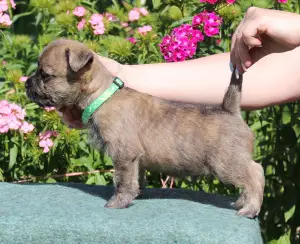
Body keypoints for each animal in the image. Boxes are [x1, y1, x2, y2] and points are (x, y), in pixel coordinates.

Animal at [25, 39, 264, 218]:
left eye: (45, 75)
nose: (26, 83)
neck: (101, 95)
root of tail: (230, 109)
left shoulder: (124, 155)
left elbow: (122, 180)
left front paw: (118, 202)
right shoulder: (134, 158)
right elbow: (135, 178)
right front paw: (136, 195)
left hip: (226, 164)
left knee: (255, 174)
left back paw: (250, 208)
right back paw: (242, 202)